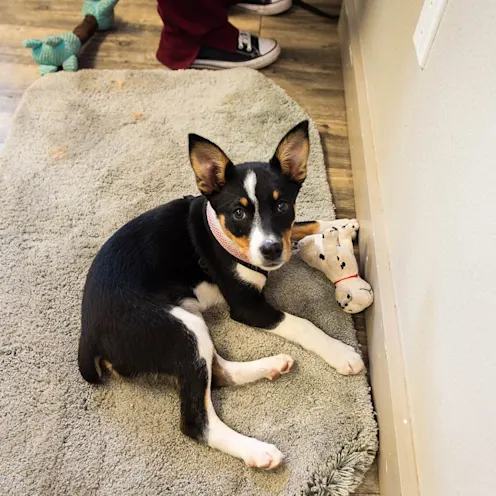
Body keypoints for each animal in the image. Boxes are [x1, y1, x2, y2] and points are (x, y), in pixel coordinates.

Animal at [77, 120, 364, 468]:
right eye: (238, 213)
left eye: (282, 205)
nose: (270, 251)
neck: (220, 233)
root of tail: (89, 335)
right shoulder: (246, 306)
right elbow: (303, 324)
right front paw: (341, 353)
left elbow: (301, 224)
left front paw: (341, 224)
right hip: (178, 329)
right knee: (196, 420)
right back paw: (257, 451)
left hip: (189, 324)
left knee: (219, 371)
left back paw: (272, 365)